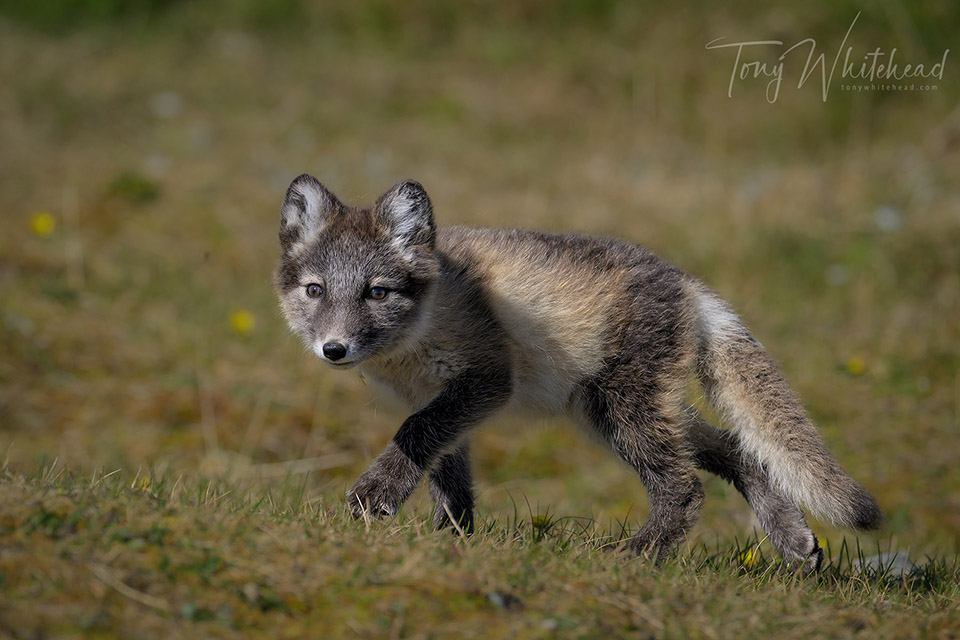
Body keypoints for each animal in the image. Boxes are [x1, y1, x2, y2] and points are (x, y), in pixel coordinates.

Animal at [274, 174, 883, 570]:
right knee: (738, 449)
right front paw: (451, 542)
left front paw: (374, 498)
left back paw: (634, 557)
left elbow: (413, 436)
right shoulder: (446, 404)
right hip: (614, 411)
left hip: (620, 410)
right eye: (315, 291)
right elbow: (448, 480)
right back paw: (794, 541)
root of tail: (687, 283)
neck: (417, 335)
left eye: (377, 292)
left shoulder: (484, 382)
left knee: (685, 486)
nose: (334, 349)